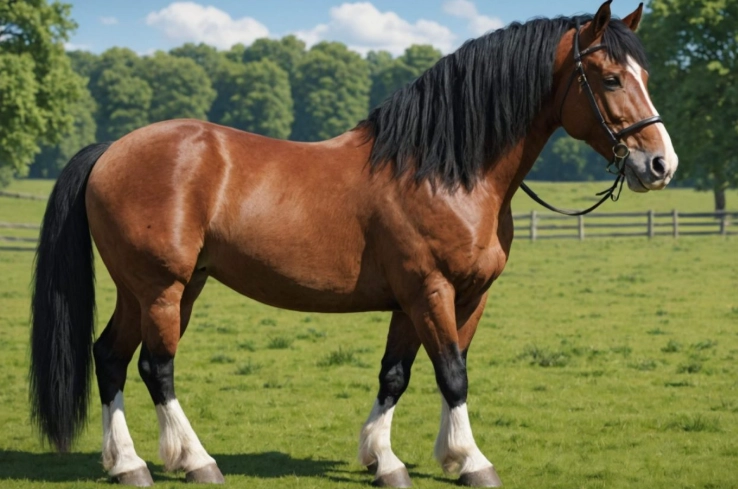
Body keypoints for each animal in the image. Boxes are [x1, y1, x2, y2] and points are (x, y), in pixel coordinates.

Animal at [30, 2, 677, 487]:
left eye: (646, 78)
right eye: (611, 78)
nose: (660, 164)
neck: (444, 170)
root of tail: (111, 150)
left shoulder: (451, 299)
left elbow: (399, 375)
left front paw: (390, 459)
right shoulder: (430, 292)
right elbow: (451, 374)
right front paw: (472, 461)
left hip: (157, 289)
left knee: (110, 358)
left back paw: (127, 464)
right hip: (161, 289)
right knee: (155, 367)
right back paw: (195, 461)